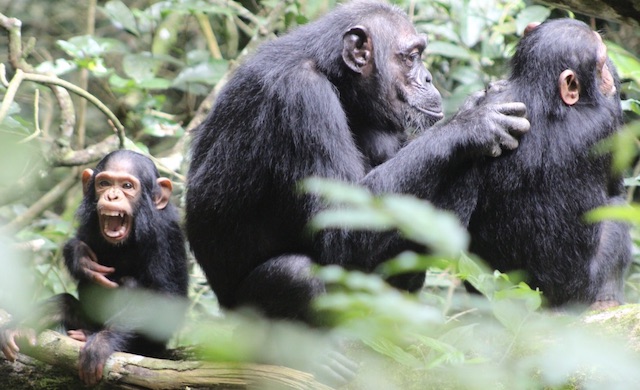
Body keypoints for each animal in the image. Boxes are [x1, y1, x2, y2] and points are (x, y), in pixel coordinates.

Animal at [0, 151, 189, 386]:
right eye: (104, 183)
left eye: (127, 186)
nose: (112, 196)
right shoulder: (90, 223)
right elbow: (79, 243)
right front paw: (81, 257)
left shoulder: (164, 234)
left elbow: (165, 299)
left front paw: (102, 343)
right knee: (69, 302)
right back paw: (37, 320)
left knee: (129, 284)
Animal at [185, 0, 528, 322]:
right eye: (411, 57)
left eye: (420, 54)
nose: (429, 77)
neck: (333, 74)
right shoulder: (301, 97)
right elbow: (339, 225)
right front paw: (473, 123)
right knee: (295, 275)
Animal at [464, 18, 632, 310]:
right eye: (600, 65)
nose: (608, 79)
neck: (539, 94)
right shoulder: (605, 125)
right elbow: (615, 187)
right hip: (582, 291)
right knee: (617, 214)